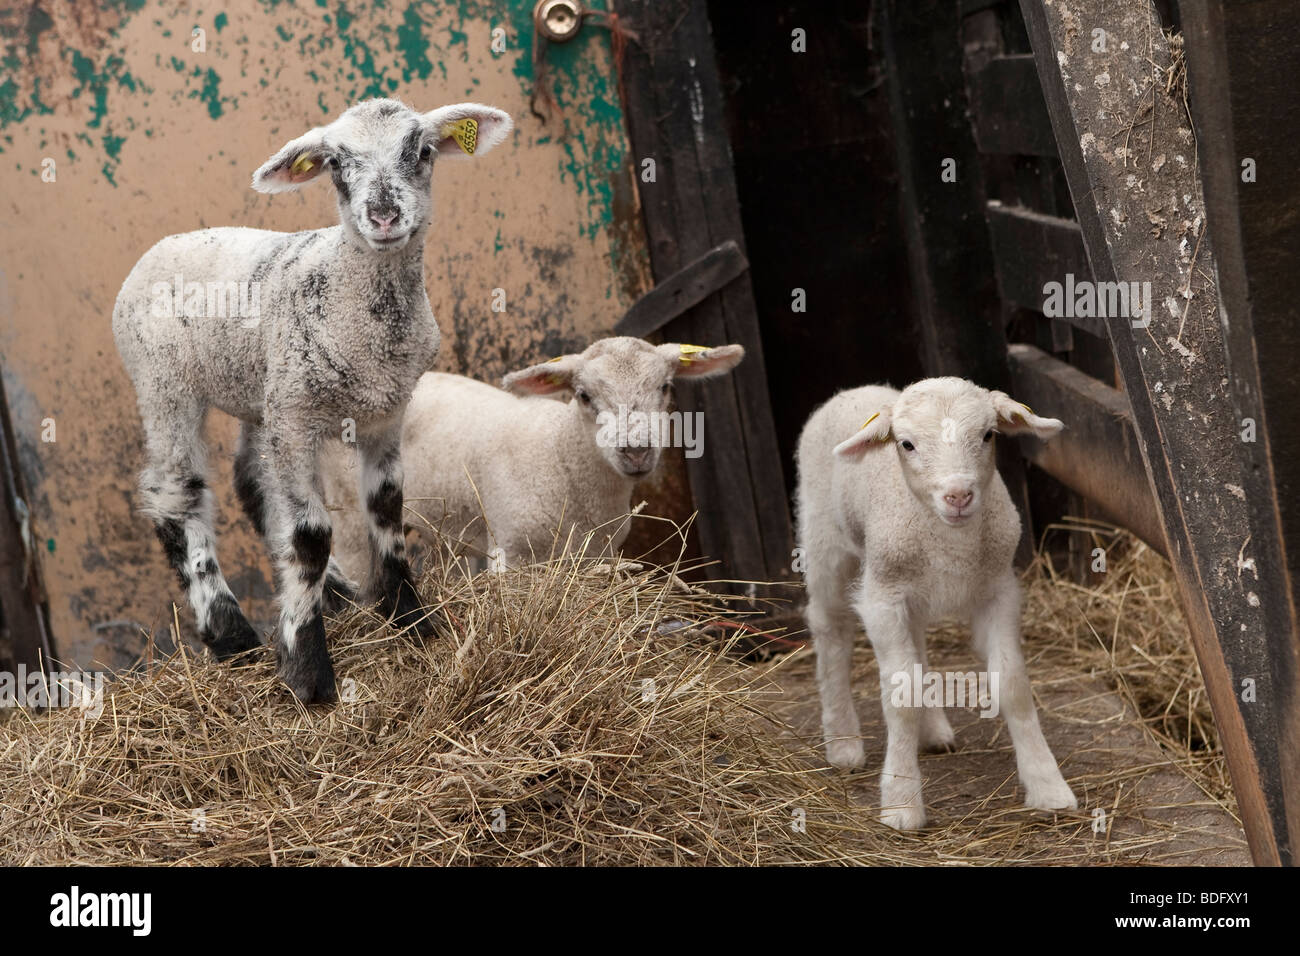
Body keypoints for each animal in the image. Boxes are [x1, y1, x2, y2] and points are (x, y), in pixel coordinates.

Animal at [110, 98, 512, 702]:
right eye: (336, 165)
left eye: (422, 151)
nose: (384, 215)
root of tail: (162, 246)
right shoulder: (297, 417)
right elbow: (310, 535)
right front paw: (309, 674)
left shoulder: (386, 410)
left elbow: (387, 507)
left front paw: (411, 619)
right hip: (166, 384)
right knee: (175, 493)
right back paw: (231, 633)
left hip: (262, 393)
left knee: (254, 482)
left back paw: (337, 594)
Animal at [322, 335, 743, 574]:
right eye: (583, 395)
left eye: (666, 386)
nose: (636, 450)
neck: (561, 456)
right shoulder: (512, 551)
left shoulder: (593, 556)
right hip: (349, 514)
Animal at [795, 379, 1081, 832]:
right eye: (907, 444)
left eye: (988, 435)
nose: (958, 495)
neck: (950, 541)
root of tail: (855, 389)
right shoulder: (882, 599)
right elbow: (901, 695)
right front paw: (901, 803)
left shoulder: (997, 590)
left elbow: (1013, 685)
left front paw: (1048, 786)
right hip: (826, 544)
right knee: (831, 628)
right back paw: (842, 742)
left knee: (914, 647)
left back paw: (931, 732)